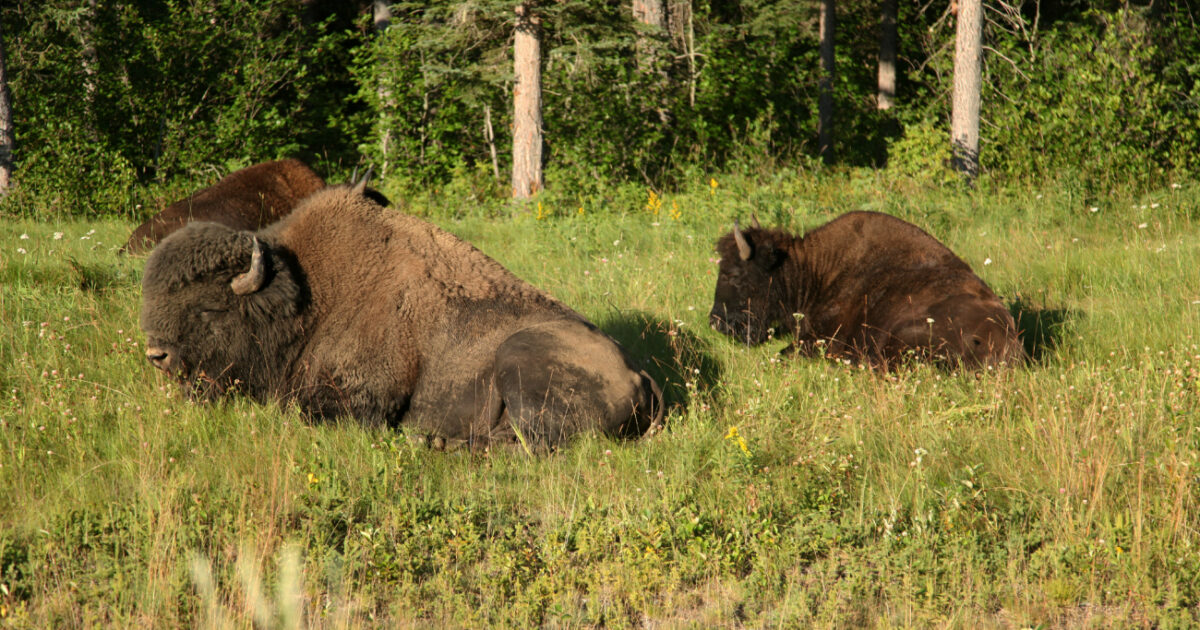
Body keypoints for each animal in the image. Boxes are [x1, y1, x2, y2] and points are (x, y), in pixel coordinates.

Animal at [142, 178, 667, 448]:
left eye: (209, 308)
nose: (157, 356)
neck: (311, 297)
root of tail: (640, 374)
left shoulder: (362, 398)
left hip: (519, 361)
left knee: (530, 442)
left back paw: (434, 442)